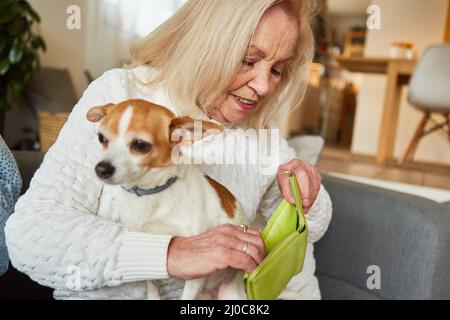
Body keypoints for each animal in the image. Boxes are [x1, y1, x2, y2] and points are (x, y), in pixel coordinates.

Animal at [86, 100, 248, 300]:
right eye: (101, 138)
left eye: (140, 145)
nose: (101, 169)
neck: (151, 193)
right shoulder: (143, 245)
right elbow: (151, 283)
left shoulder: (197, 269)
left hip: (229, 292)